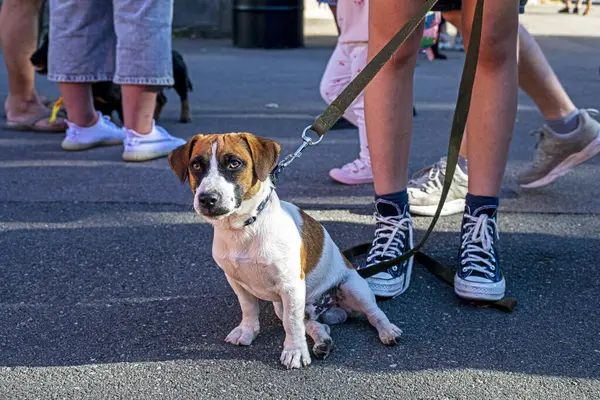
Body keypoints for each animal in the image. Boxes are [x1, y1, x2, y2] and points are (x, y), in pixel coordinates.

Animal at [169, 132, 404, 368]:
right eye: (196, 165)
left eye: (234, 163)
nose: (207, 199)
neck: (245, 227)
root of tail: (329, 308)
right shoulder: (237, 281)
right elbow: (249, 308)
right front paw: (247, 330)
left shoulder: (291, 286)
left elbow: (292, 324)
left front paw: (295, 352)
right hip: (285, 306)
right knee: (314, 324)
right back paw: (323, 341)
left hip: (354, 288)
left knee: (373, 313)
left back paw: (387, 330)